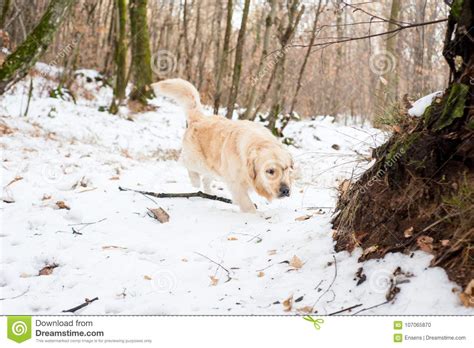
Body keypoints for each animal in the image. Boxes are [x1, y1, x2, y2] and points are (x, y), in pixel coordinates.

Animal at [152, 79, 292, 213]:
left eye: (286, 169)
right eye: (270, 171)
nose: (286, 190)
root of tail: (200, 118)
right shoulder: (236, 184)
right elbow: (248, 205)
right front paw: (255, 216)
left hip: (214, 167)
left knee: (205, 180)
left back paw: (209, 193)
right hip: (198, 161)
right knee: (186, 164)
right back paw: (195, 181)